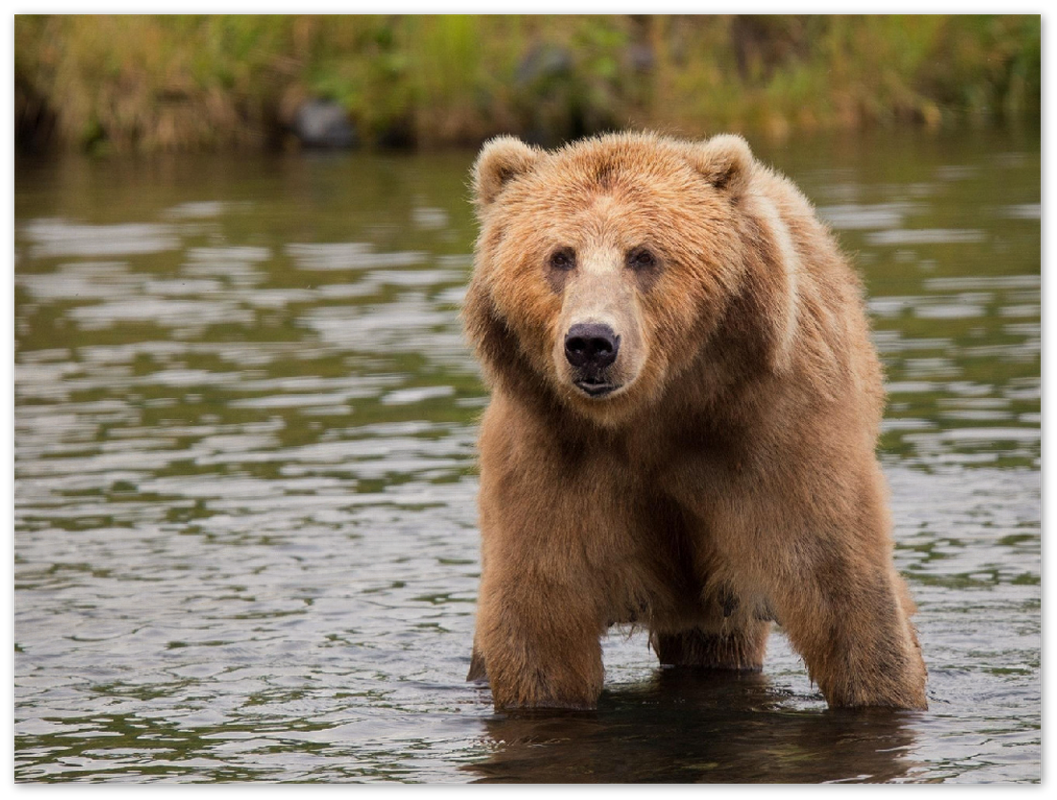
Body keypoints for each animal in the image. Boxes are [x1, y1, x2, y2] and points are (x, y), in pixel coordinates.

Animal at [462, 131, 927, 711]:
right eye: (560, 256)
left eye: (643, 255)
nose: (591, 342)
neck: (654, 415)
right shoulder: (552, 456)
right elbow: (540, 620)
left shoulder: (775, 437)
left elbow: (843, 592)